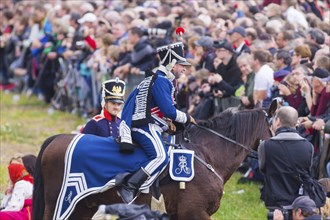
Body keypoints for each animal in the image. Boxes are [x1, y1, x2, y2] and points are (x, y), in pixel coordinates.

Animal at [32, 107, 274, 219]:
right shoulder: (194, 213)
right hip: (61, 203)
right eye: (274, 126)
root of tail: (57, 139)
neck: (206, 156)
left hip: (83, 207)